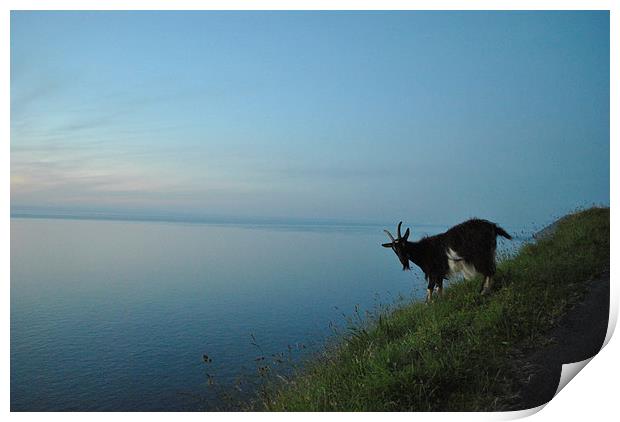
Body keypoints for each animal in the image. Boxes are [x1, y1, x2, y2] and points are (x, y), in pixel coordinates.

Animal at [382, 219, 512, 302]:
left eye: (404, 244)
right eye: (394, 249)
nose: (404, 262)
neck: (423, 250)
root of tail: (492, 226)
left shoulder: (433, 272)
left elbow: (430, 288)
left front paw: (428, 305)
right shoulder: (439, 274)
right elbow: (439, 288)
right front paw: (440, 302)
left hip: (480, 255)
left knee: (488, 270)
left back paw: (483, 291)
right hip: (489, 253)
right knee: (491, 270)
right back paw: (487, 289)